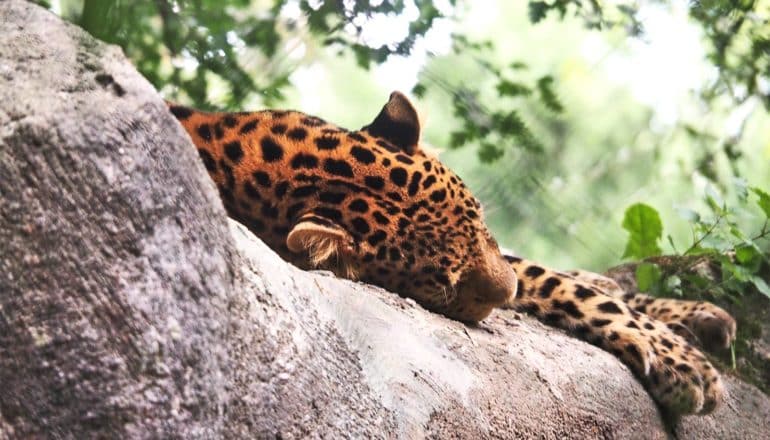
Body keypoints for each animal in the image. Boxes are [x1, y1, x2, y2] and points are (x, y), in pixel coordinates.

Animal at [166, 92, 732, 416]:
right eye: (441, 283)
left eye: (481, 220)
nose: (504, 295)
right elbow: (543, 281)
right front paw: (685, 365)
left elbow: (541, 273)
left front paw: (687, 326)